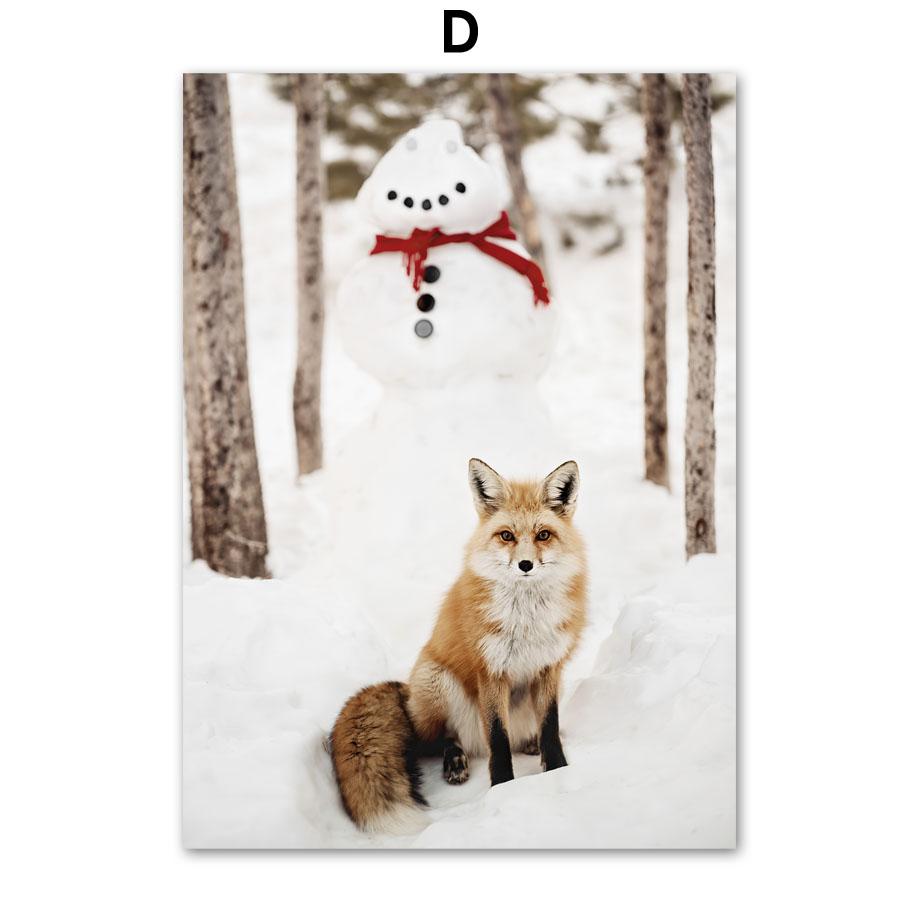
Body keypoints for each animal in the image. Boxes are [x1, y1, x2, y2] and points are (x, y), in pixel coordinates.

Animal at [330, 457, 587, 833]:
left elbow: (550, 730)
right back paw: (454, 761)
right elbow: (498, 741)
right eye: (507, 535)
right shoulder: (490, 671)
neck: (526, 619)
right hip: (437, 683)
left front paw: (557, 772)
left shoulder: (549, 667)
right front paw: (503, 789)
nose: (525, 565)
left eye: (543, 535)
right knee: (434, 740)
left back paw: (528, 743)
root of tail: (406, 691)